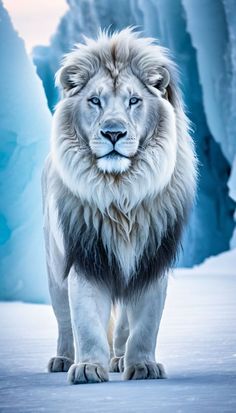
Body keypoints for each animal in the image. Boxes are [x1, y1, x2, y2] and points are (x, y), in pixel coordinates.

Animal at [41, 28, 196, 384]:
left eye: (134, 100)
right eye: (94, 101)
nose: (114, 133)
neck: (120, 193)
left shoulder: (151, 259)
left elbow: (145, 324)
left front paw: (143, 366)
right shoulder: (85, 256)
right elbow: (85, 322)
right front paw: (87, 368)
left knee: (124, 323)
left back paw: (120, 358)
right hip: (54, 268)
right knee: (64, 320)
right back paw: (63, 359)